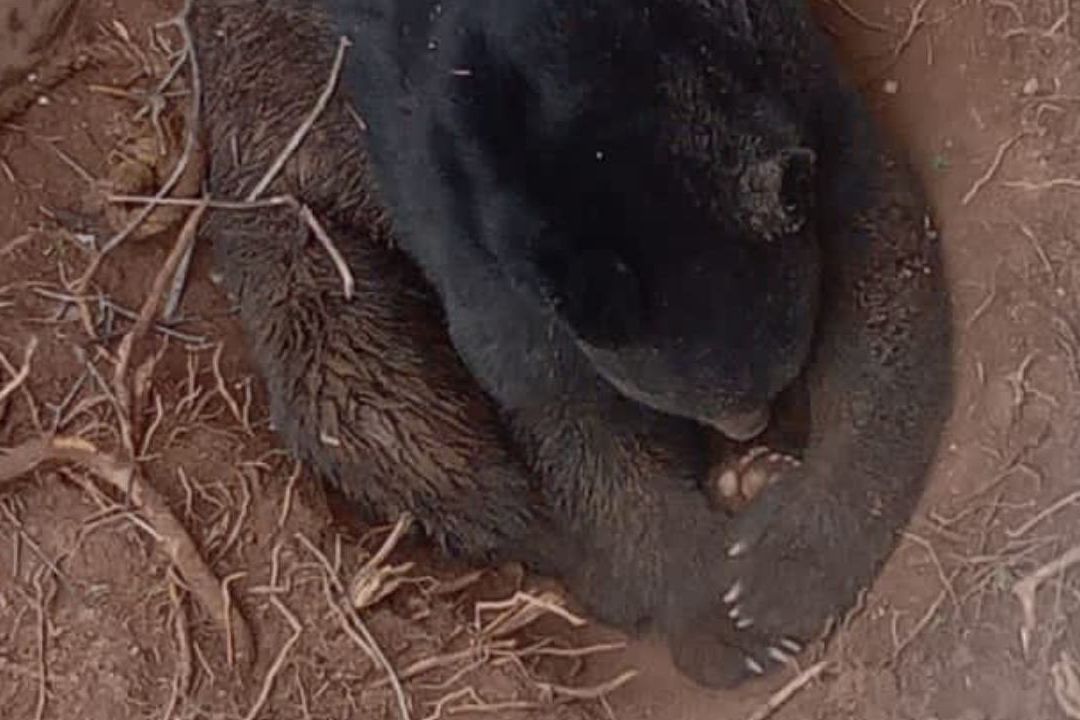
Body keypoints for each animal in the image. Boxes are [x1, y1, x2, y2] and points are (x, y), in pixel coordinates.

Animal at [193, 0, 953, 689]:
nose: (750, 424)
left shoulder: (797, 81)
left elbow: (882, 257)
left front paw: (779, 575)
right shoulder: (456, 216)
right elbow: (555, 406)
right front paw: (719, 616)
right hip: (288, 202)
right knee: (382, 411)